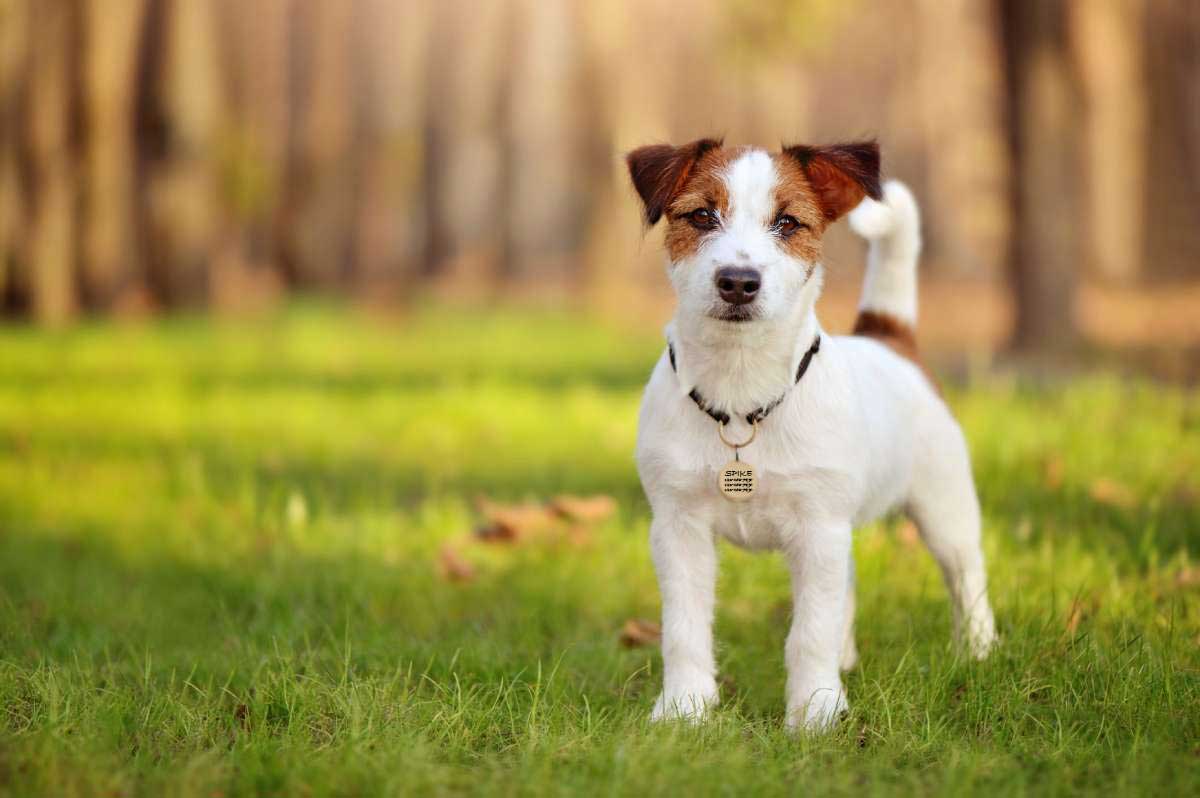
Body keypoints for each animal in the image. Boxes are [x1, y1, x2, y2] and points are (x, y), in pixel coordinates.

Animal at [624, 138, 998, 729]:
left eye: (788, 223)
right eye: (702, 215)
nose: (738, 282)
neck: (740, 397)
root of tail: (890, 338)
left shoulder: (818, 528)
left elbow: (810, 631)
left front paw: (815, 712)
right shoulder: (679, 529)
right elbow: (684, 628)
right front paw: (685, 709)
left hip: (944, 507)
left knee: (967, 576)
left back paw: (978, 652)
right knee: (848, 581)